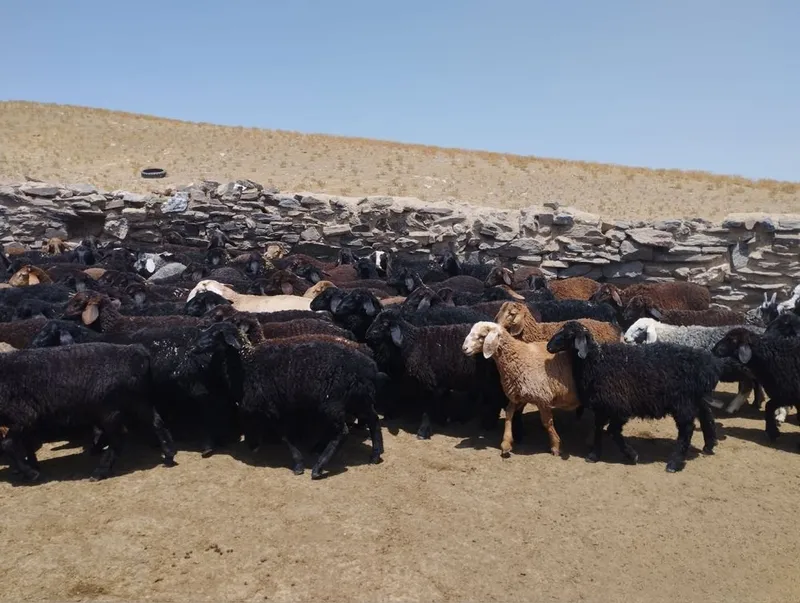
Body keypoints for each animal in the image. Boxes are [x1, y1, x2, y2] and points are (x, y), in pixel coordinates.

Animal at [0, 342, 176, 481]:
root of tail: (137, 352)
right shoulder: (29, 419)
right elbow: (27, 443)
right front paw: (33, 466)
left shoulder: (23, 416)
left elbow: (8, 444)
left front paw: (30, 472)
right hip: (137, 401)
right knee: (156, 422)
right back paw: (169, 454)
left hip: (110, 410)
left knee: (119, 438)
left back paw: (100, 471)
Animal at [180, 322, 384, 478]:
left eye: (216, 334)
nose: (191, 347)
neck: (245, 364)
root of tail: (370, 366)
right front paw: (254, 445)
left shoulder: (272, 407)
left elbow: (285, 436)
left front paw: (298, 465)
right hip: (359, 398)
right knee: (373, 420)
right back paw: (375, 455)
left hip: (333, 403)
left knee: (343, 432)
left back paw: (318, 468)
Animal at [462, 321, 580, 457]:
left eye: (482, 336)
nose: (464, 349)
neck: (519, 355)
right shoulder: (518, 394)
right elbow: (509, 414)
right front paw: (506, 443)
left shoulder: (542, 398)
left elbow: (547, 422)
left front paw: (555, 445)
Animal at [546, 321, 720, 472]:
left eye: (568, 334)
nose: (549, 346)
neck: (596, 361)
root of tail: (706, 364)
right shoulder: (603, 406)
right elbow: (599, 429)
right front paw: (595, 454)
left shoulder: (619, 406)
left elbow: (614, 431)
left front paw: (631, 454)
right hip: (696, 398)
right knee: (706, 416)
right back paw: (709, 445)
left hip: (683, 402)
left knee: (687, 430)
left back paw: (675, 463)